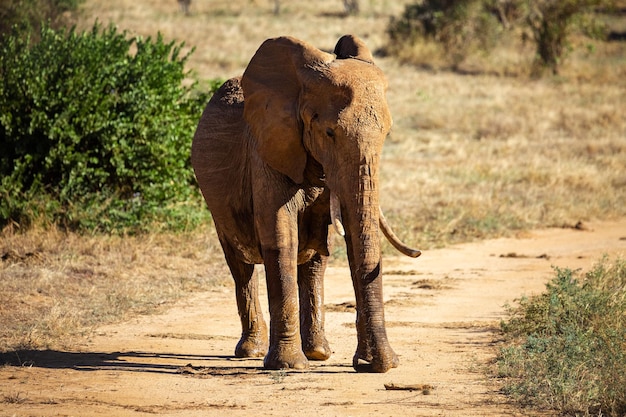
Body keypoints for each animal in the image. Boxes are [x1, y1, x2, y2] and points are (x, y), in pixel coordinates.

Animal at [190, 35, 422, 374]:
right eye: (329, 132)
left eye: (387, 133)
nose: (376, 364)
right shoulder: (267, 148)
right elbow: (281, 235)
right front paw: (287, 366)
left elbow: (349, 238)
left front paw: (370, 363)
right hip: (216, 204)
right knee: (240, 264)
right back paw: (251, 351)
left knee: (314, 258)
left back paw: (318, 353)